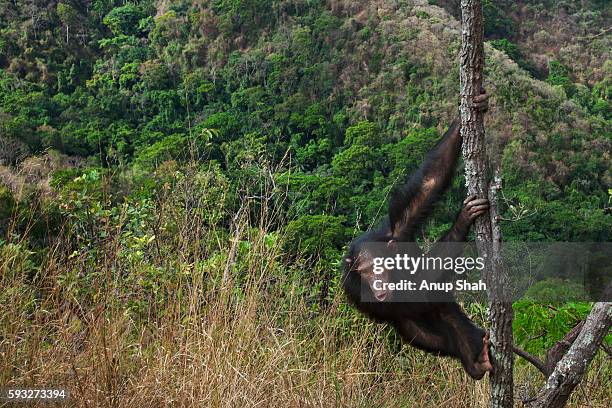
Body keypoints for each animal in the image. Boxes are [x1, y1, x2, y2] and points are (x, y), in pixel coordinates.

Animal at [342, 91, 494, 380]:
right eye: (364, 272)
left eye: (376, 267)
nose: (375, 282)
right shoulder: (352, 285)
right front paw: (462, 220)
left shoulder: (401, 227)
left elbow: (430, 182)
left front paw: (463, 117)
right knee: (415, 328)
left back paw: (474, 356)